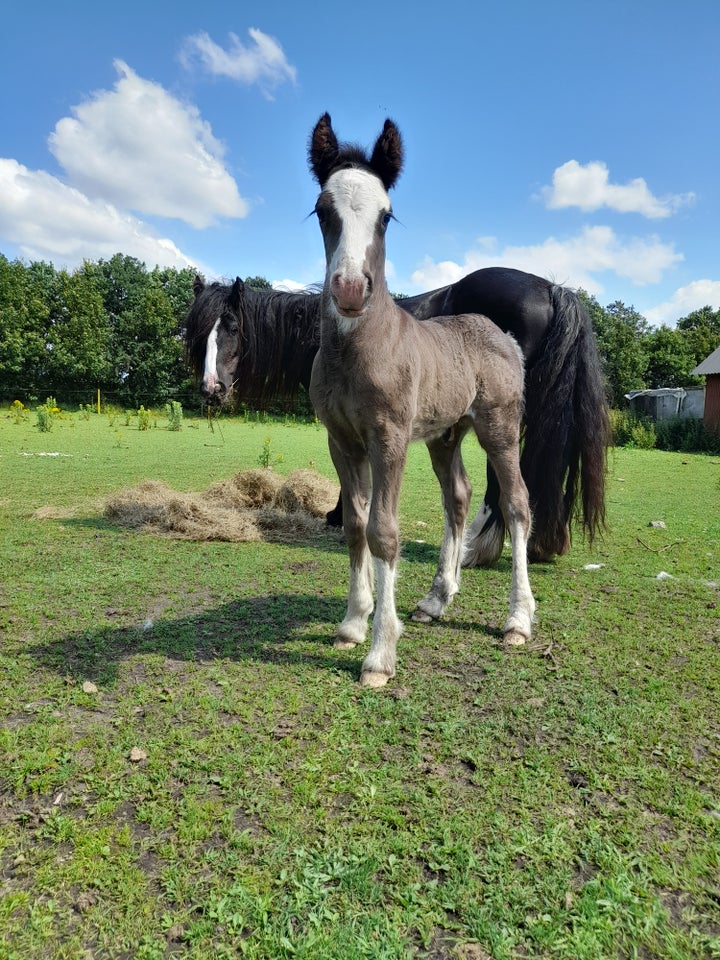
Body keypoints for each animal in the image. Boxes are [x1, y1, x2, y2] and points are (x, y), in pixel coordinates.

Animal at [186, 264, 608, 564]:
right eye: (198, 332)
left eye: (233, 327)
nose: (211, 388)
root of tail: (550, 288)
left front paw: (340, 514)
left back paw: (477, 548)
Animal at [308, 112, 536, 688]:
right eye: (323, 210)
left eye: (387, 216)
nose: (350, 290)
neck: (356, 349)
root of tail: (503, 336)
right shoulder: (341, 441)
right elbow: (355, 525)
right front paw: (353, 623)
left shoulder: (388, 439)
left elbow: (383, 532)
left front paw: (379, 653)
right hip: (445, 436)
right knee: (458, 496)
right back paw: (437, 599)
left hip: (500, 428)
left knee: (517, 503)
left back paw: (518, 619)